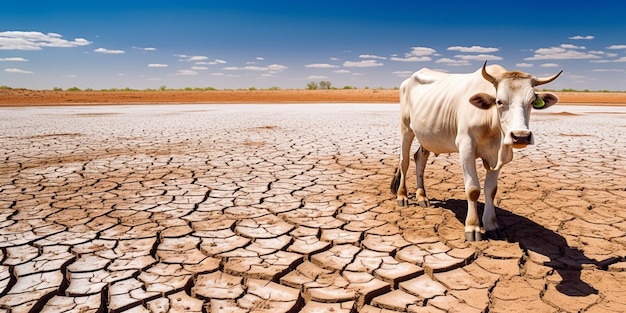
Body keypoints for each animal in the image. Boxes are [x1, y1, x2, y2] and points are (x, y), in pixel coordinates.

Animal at [390, 61, 560, 241]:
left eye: (532, 102)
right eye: (499, 101)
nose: (520, 136)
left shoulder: (496, 157)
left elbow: (491, 191)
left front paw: (492, 226)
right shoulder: (466, 149)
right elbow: (473, 190)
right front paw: (472, 227)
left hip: (427, 137)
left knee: (420, 159)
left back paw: (422, 196)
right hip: (406, 128)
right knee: (405, 161)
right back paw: (402, 196)